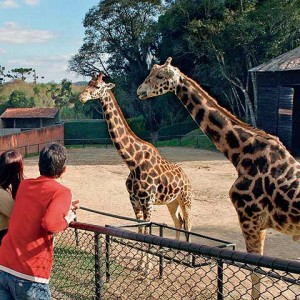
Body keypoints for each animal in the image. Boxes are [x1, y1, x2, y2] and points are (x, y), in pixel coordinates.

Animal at [79, 75, 192, 244]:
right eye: (88, 83)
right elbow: (140, 230)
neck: (133, 163)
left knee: (188, 225)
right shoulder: (134, 200)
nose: (82, 97)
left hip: (186, 199)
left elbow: (145, 233)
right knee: (178, 222)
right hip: (172, 202)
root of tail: (186, 177)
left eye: (98, 86)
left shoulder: (148, 202)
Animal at [137, 56, 300, 298]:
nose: (140, 90)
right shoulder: (258, 224)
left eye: (159, 76)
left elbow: (256, 273)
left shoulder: (250, 218)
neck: (240, 153)